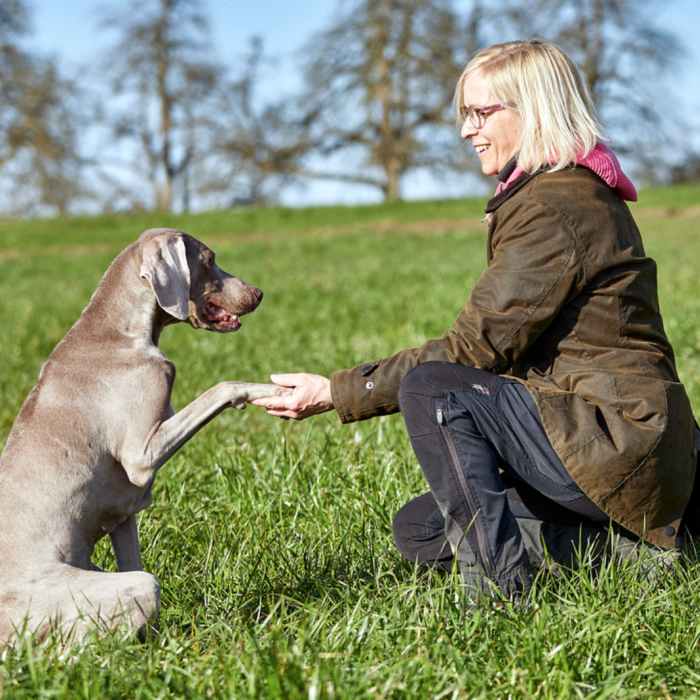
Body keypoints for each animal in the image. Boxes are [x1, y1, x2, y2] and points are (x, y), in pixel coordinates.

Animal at [0, 228, 290, 644]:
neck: (117, 330)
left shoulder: (121, 514)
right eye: (209, 259)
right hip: (126, 587)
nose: (259, 293)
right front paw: (274, 390)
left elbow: (129, 549)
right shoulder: (140, 456)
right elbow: (221, 387)